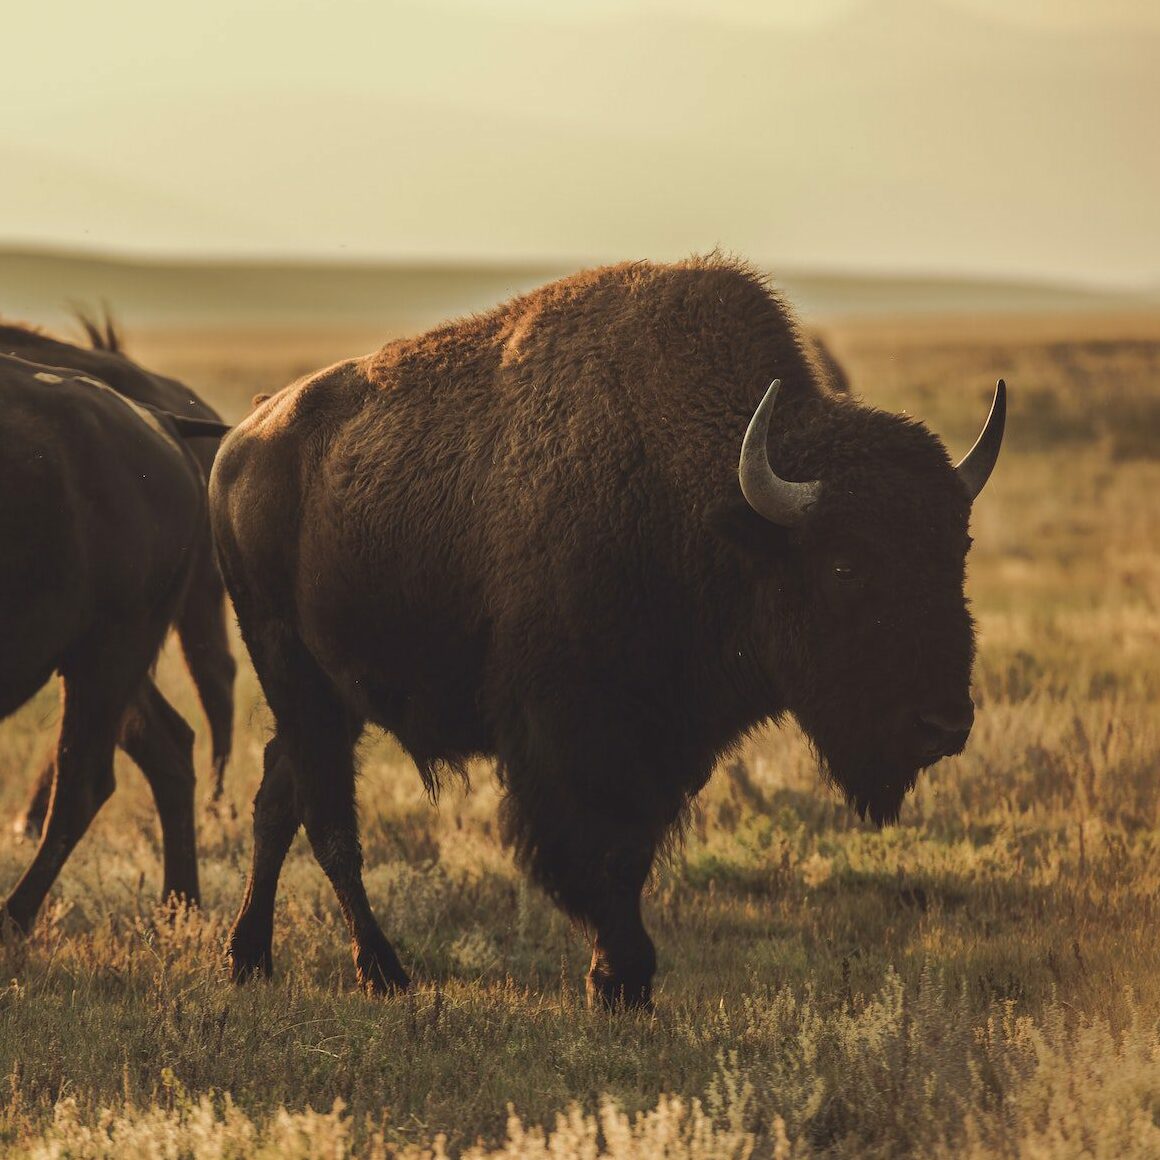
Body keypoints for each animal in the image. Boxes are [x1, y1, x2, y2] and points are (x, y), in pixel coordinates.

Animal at [0, 352, 228, 932]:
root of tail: (161, 421)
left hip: (107, 653)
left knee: (84, 781)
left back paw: (12, 919)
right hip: (106, 660)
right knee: (168, 746)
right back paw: (179, 908)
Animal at [211, 256, 1006, 1006]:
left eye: (957, 551)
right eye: (844, 565)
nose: (944, 725)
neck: (698, 495)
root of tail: (241, 440)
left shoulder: (663, 741)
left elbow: (631, 851)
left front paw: (617, 980)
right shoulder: (573, 738)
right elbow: (601, 852)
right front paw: (623, 977)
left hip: (331, 697)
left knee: (279, 800)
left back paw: (249, 959)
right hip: (292, 672)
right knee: (327, 820)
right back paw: (381, 972)